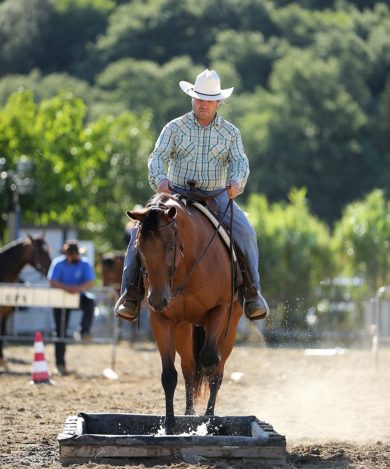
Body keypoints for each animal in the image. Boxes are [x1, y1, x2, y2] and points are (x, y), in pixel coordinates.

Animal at [0, 234, 51, 366]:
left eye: (48, 249)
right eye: (39, 251)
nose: (49, 267)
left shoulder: (6, 310)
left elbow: (3, 332)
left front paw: (2, 359)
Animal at [128, 192, 242, 434]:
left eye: (171, 246)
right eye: (139, 249)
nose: (157, 299)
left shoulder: (219, 311)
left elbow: (210, 363)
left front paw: (208, 422)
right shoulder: (161, 320)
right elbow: (169, 375)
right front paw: (170, 425)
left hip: (229, 329)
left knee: (216, 371)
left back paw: (208, 417)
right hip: (183, 328)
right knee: (189, 367)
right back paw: (189, 413)